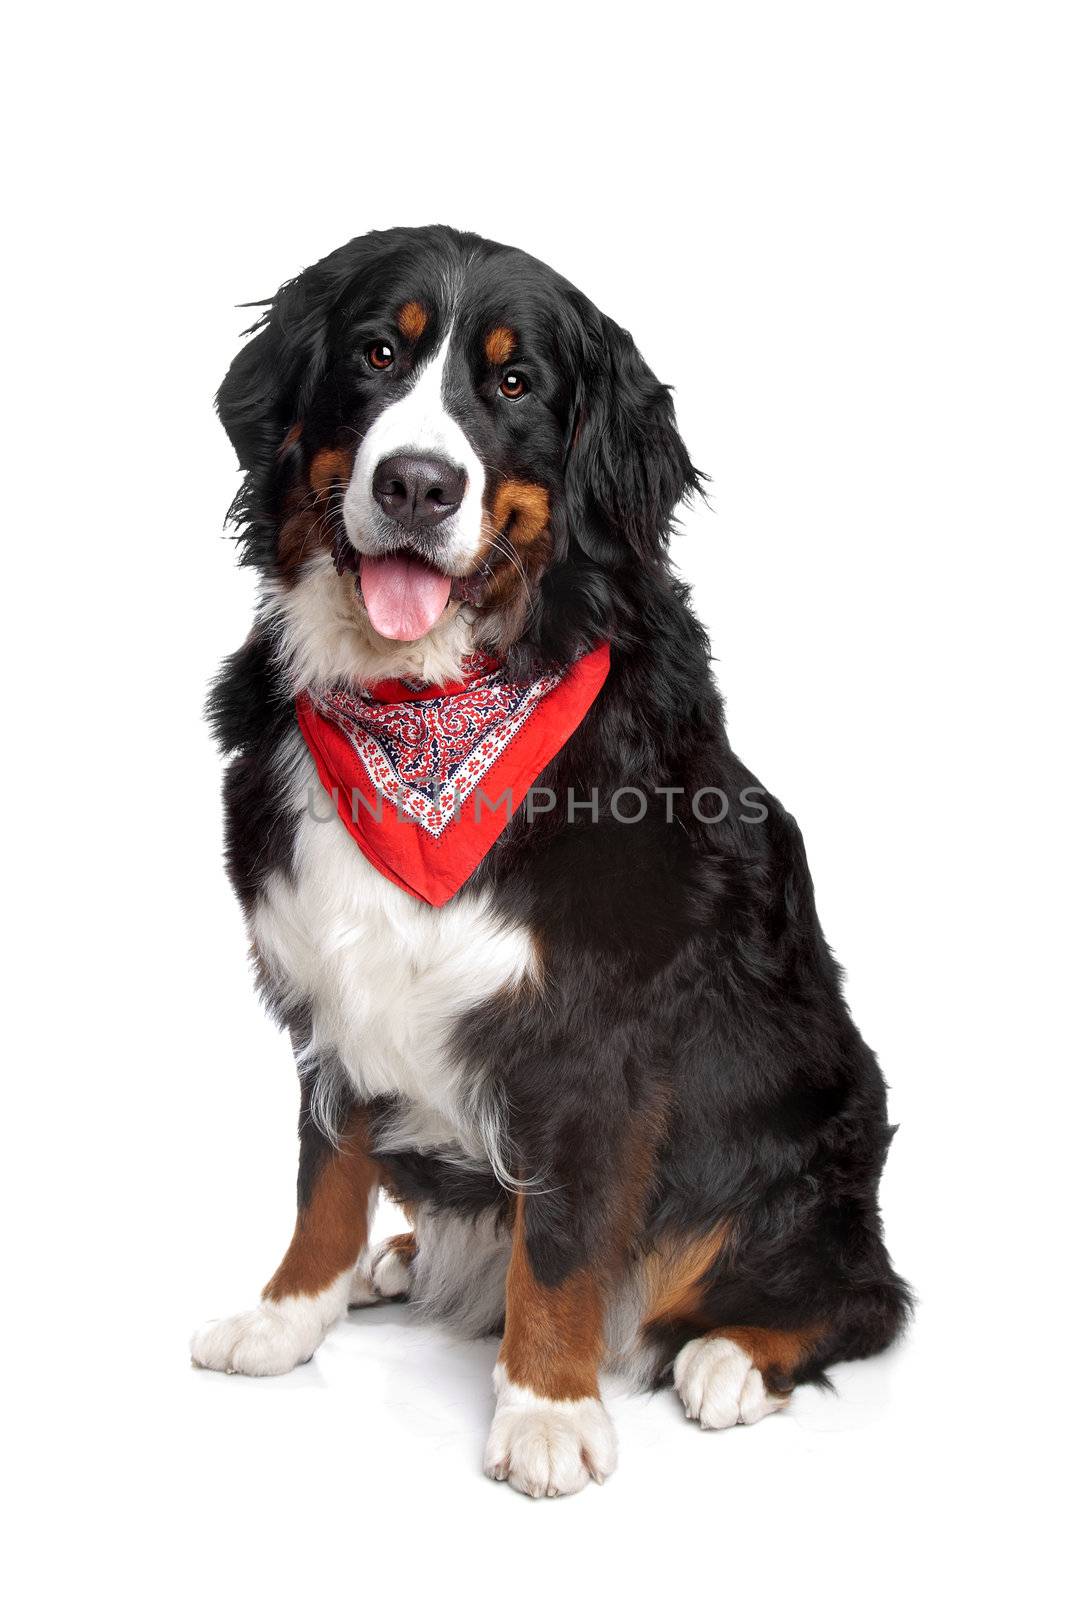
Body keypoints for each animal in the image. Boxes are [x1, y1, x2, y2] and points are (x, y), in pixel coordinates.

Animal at [191, 225, 908, 1497]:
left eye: (514, 384)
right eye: (377, 354)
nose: (414, 485)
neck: (426, 705)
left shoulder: (593, 1031)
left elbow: (566, 1241)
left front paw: (545, 1410)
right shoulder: (326, 988)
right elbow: (324, 1175)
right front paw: (285, 1317)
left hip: (819, 1134)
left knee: (858, 1293)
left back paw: (729, 1354)